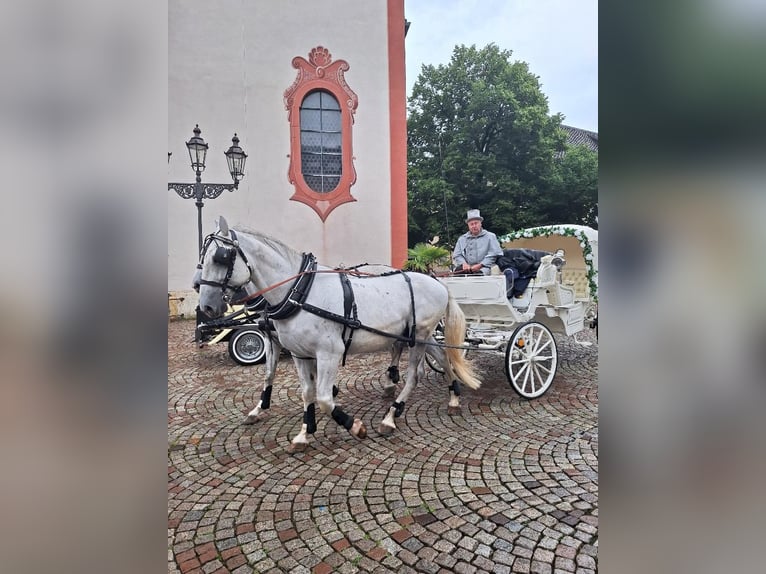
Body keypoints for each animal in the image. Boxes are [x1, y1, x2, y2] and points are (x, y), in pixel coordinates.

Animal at [196, 218, 480, 452]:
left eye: (221, 257)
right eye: (202, 258)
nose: (205, 308)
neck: (300, 292)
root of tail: (438, 282)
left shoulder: (329, 353)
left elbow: (323, 398)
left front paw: (354, 426)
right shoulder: (299, 353)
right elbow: (306, 392)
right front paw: (303, 433)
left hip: (418, 336)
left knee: (415, 374)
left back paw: (390, 417)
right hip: (420, 335)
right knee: (443, 358)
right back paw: (453, 398)